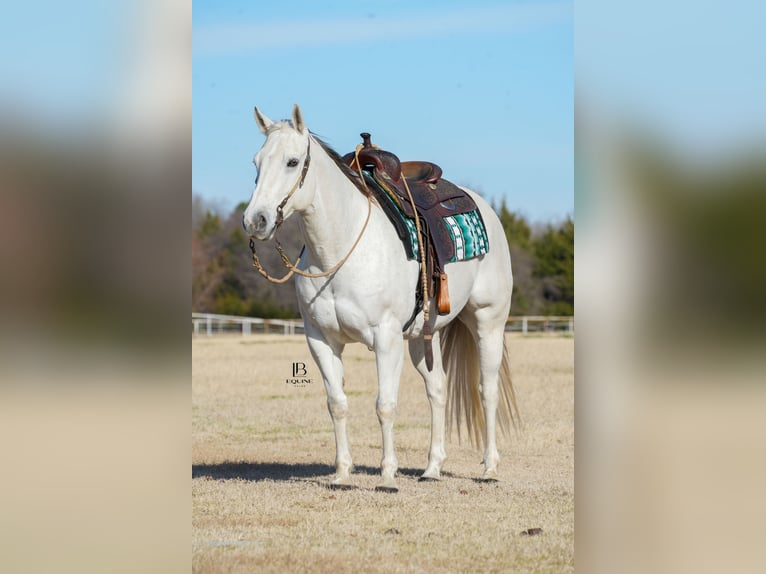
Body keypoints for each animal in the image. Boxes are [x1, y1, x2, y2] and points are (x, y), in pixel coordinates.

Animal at [244, 106, 520, 492]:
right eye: (256, 162)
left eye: (292, 161)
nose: (256, 220)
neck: (339, 251)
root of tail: (484, 208)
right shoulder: (320, 340)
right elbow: (337, 404)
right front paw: (342, 474)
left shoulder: (386, 339)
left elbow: (385, 405)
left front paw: (388, 476)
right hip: (423, 336)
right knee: (438, 389)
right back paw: (432, 468)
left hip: (488, 323)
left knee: (487, 390)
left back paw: (489, 469)